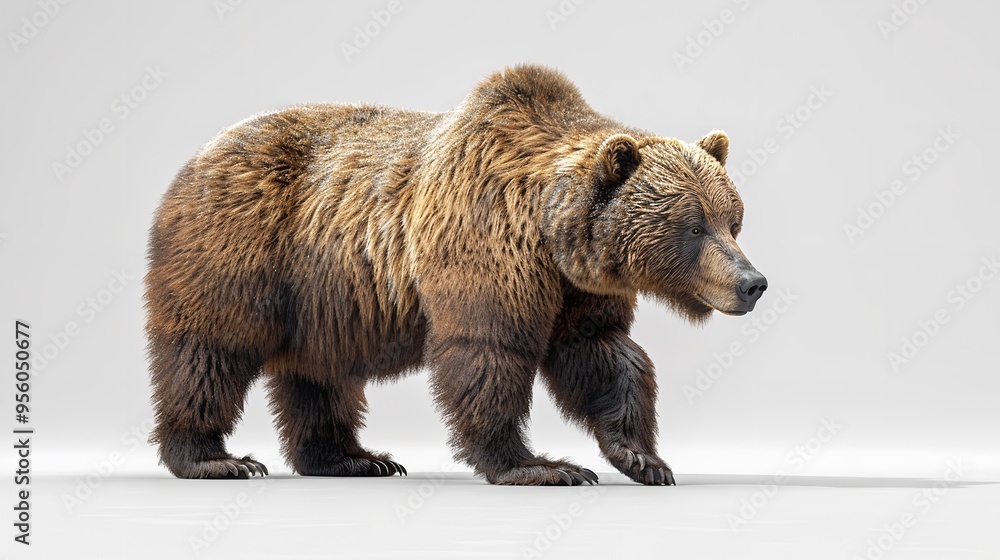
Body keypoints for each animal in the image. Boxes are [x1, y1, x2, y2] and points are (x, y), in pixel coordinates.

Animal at [145, 63, 767, 486]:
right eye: (694, 226)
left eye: (733, 220)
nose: (752, 283)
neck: (550, 234)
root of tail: (196, 158)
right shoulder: (486, 244)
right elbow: (489, 353)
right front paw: (542, 465)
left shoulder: (577, 288)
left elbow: (602, 354)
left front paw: (643, 458)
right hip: (241, 246)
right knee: (209, 349)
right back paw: (215, 458)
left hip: (324, 293)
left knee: (319, 371)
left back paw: (353, 458)